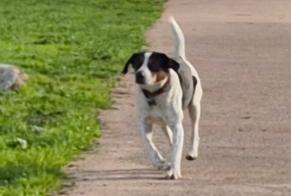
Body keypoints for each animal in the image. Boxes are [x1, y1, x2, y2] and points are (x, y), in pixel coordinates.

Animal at [121, 16, 203, 179]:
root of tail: (180, 57)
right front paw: (160, 162)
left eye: (153, 65)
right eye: (137, 64)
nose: (139, 75)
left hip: (195, 107)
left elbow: (177, 150)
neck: (154, 94)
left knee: (194, 130)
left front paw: (174, 171)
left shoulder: (177, 125)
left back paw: (192, 152)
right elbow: (149, 145)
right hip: (163, 123)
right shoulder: (144, 123)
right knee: (171, 138)